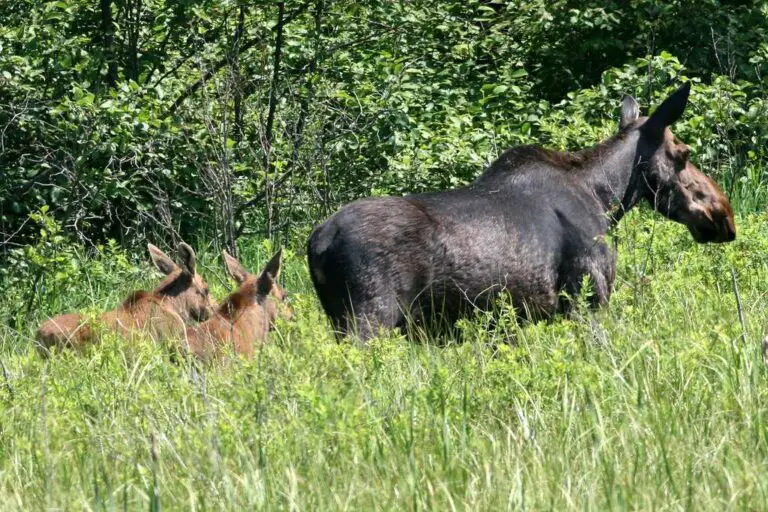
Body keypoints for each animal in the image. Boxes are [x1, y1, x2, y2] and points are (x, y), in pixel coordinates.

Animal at [306, 83, 736, 340]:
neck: (606, 198)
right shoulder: (587, 298)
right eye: (683, 154)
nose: (724, 215)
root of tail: (317, 244)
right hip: (368, 320)